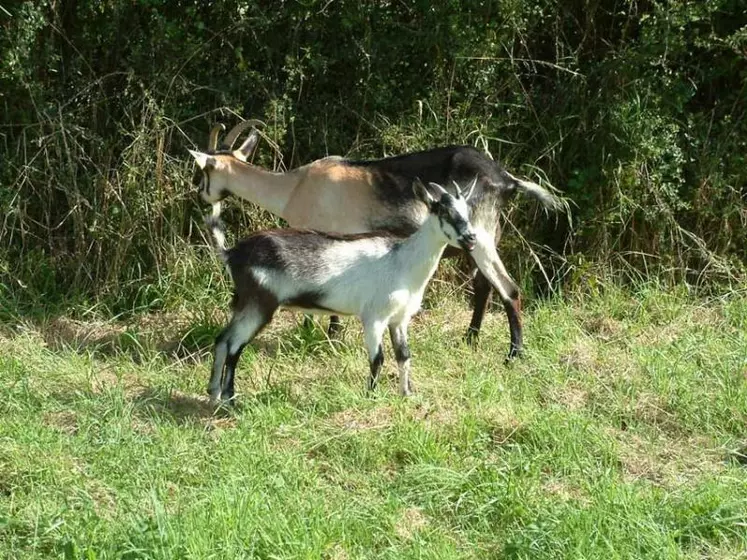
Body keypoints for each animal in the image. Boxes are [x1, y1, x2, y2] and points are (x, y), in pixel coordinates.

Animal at [203, 177, 480, 404]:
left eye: (467, 211)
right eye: (443, 211)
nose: (471, 238)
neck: (402, 261)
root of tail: (232, 253)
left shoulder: (399, 319)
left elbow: (404, 356)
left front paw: (407, 394)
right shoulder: (374, 318)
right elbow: (377, 358)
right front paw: (371, 396)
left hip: (244, 305)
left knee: (222, 339)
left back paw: (213, 393)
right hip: (259, 305)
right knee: (235, 346)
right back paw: (229, 398)